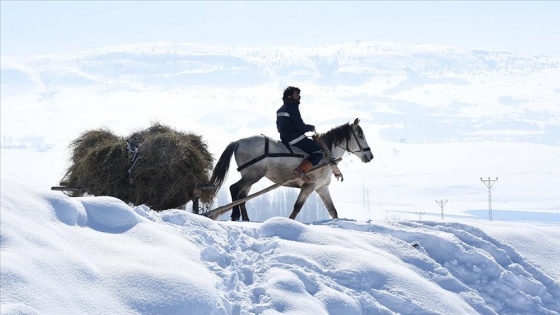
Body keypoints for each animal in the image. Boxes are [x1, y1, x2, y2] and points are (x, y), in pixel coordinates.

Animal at [208, 119, 374, 222]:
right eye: (360, 135)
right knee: (234, 189)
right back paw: (235, 215)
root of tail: (238, 142)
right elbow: (296, 208)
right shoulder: (309, 186)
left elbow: (333, 211)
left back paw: (245, 219)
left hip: (250, 177)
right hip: (253, 175)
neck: (326, 153)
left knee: (242, 196)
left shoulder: (322, 188)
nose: (370, 156)